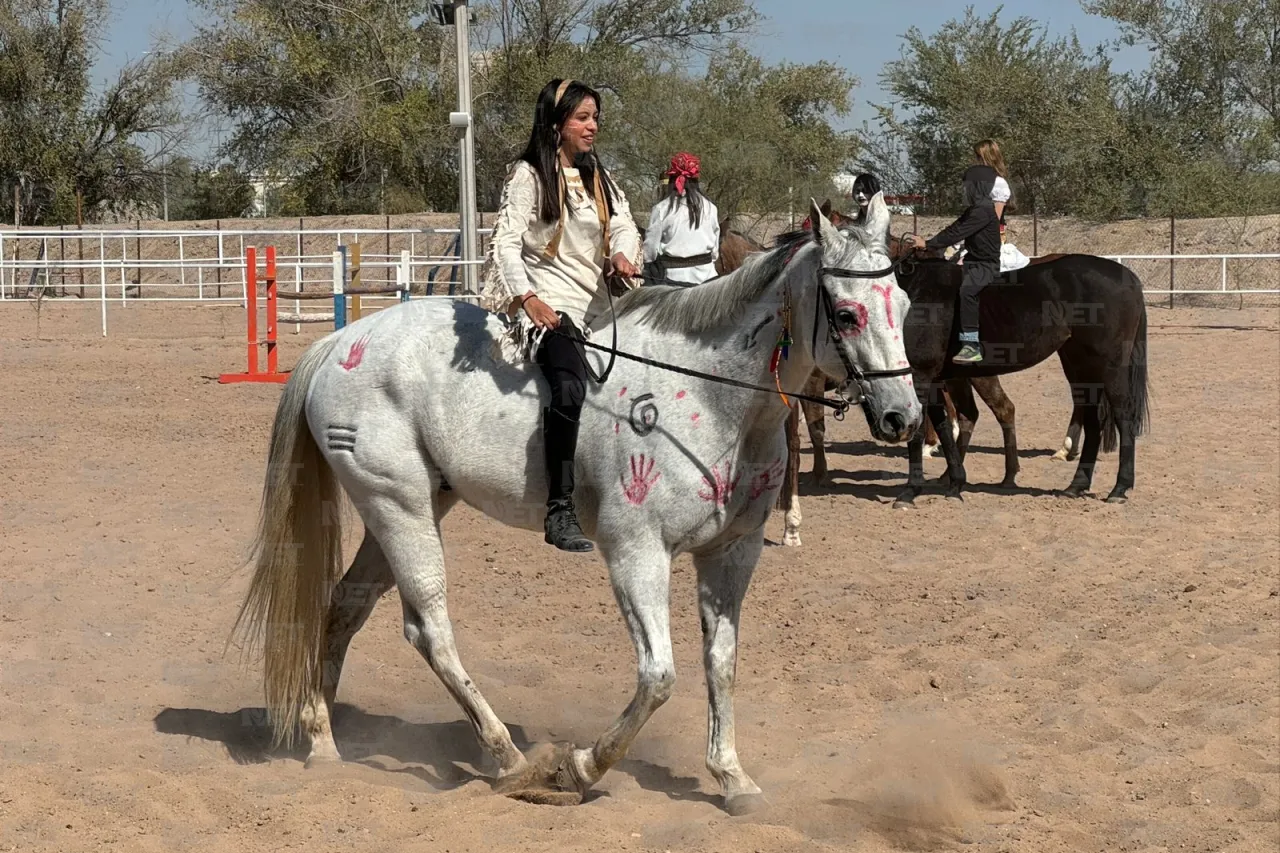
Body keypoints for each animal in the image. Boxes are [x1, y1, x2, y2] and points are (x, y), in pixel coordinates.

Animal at [227, 197, 911, 809]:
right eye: (847, 314)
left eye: (903, 304)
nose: (902, 416)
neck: (711, 399)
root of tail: (338, 344)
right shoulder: (637, 553)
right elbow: (659, 677)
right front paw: (578, 769)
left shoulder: (731, 554)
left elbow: (721, 664)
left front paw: (732, 779)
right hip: (400, 510)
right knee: (429, 629)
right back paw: (509, 759)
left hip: (404, 508)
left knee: (345, 606)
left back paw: (322, 738)